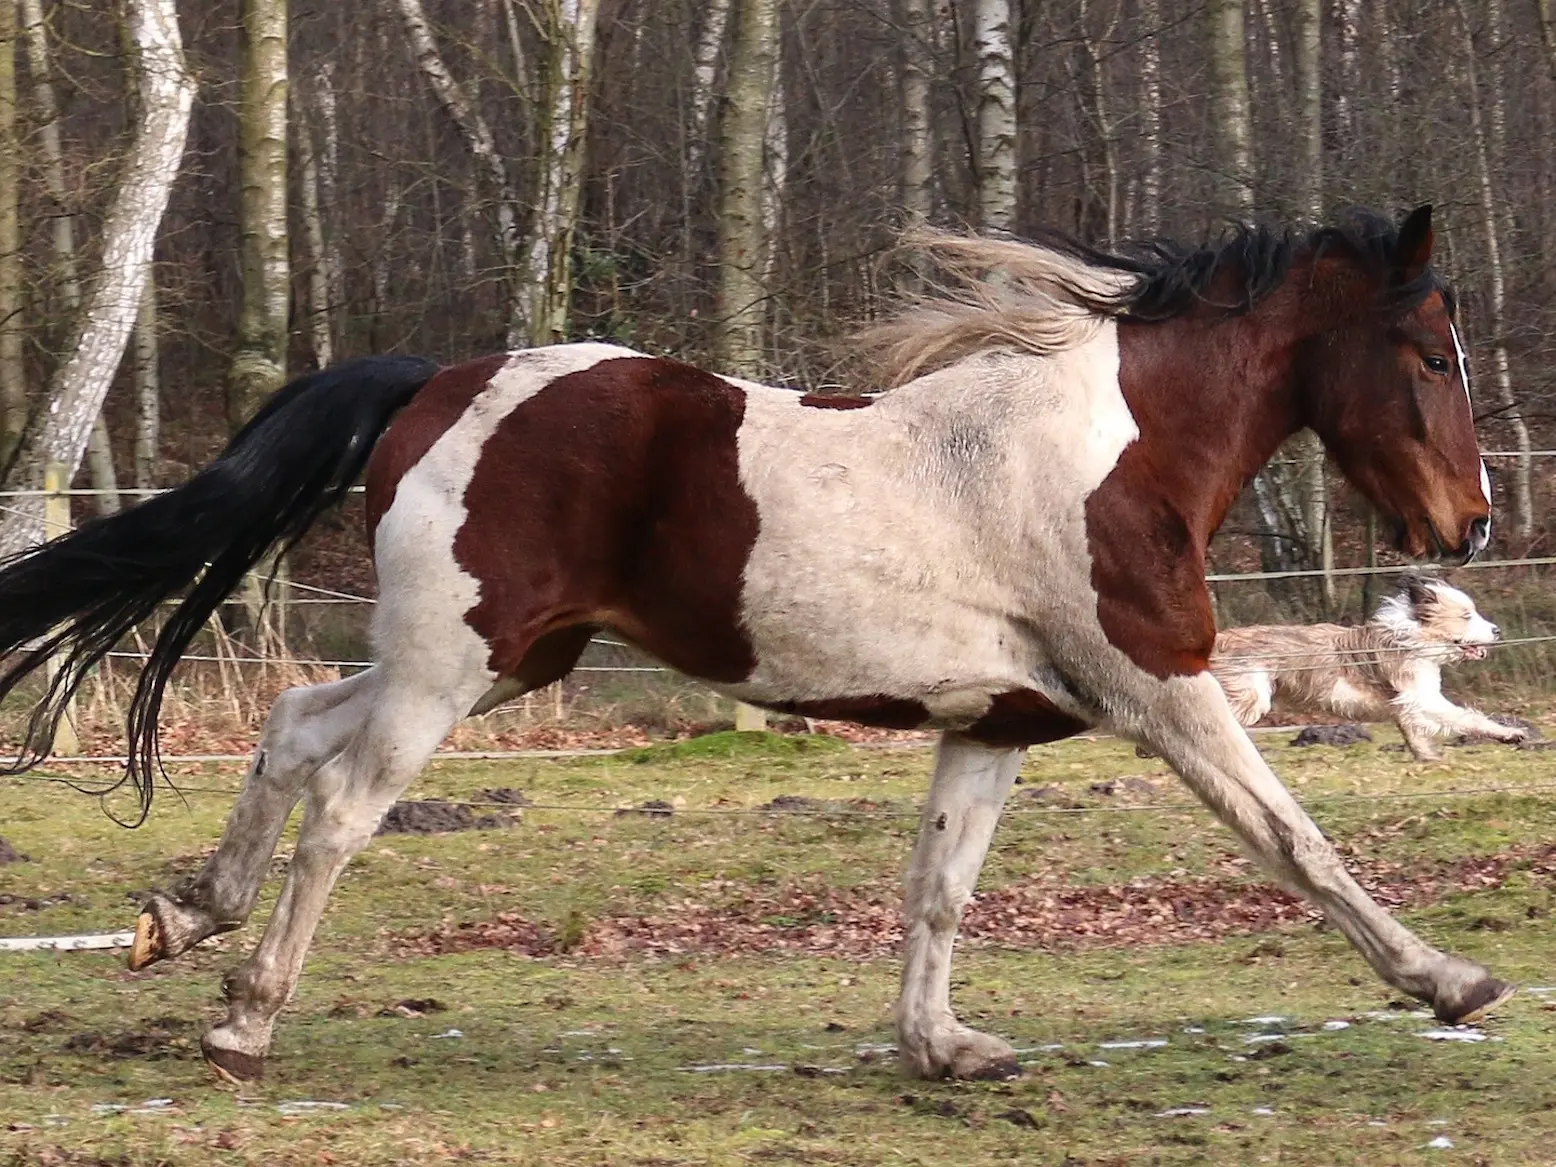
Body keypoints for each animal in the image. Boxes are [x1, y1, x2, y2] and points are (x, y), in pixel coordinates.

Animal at [1207, 581, 1524, 762]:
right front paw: (1508, 732)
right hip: (1249, 696)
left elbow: (1414, 732)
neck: (1415, 637)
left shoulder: (1406, 705)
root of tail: (1217, 641)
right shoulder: (1422, 698)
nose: (1497, 631)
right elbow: (1466, 716)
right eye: (1466, 615)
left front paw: (1428, 757)